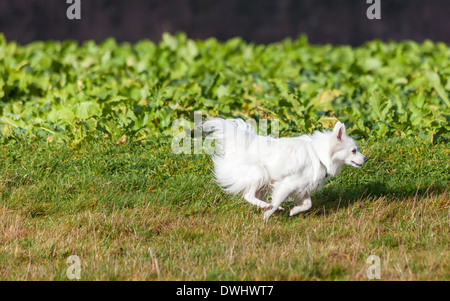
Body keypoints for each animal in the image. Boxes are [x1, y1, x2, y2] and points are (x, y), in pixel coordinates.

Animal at [202, 118, 368, 220]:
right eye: (354, 151)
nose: (366, 159)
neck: (320, 155)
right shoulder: (287, 185)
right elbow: (276, 202)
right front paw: (266, 218)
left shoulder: (302, 188)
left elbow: (307, 204)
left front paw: (294, 211)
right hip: (259, 174)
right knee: (248, 195)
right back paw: (266, 206)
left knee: (256, 196)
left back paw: (271, 207)